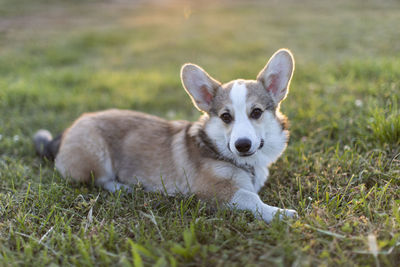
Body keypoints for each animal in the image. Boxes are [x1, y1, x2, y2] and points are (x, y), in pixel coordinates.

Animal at [34, 48, 296, 224]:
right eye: (225, 116)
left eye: (256, 112)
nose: (242, 145)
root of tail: (65, 133)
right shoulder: (215, 191)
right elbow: (251, 199)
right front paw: (280, 213)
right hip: (95, 155)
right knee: (99, 180)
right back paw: (124, 187)